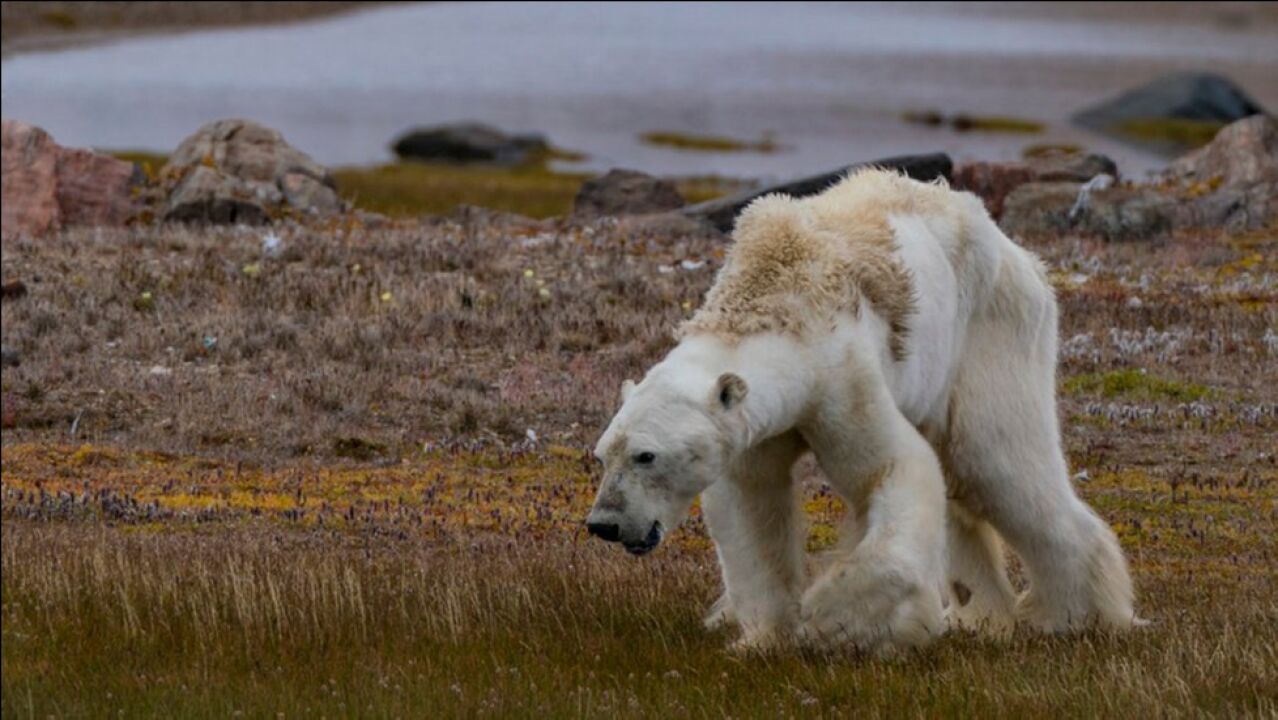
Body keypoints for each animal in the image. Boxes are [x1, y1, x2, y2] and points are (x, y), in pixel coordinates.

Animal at [587, 168, 1139, 654]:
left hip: (991, 331)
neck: (774, 299)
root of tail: (1019, 253)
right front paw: (763, 638)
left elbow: (893, 468)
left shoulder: (841, 377)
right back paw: (982, 615)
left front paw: (835, 618)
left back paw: (1074, 615)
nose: (604, 525)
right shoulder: (754, 428)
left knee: (996, 463)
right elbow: (750, 506)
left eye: (646, 456)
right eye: (602, 454)